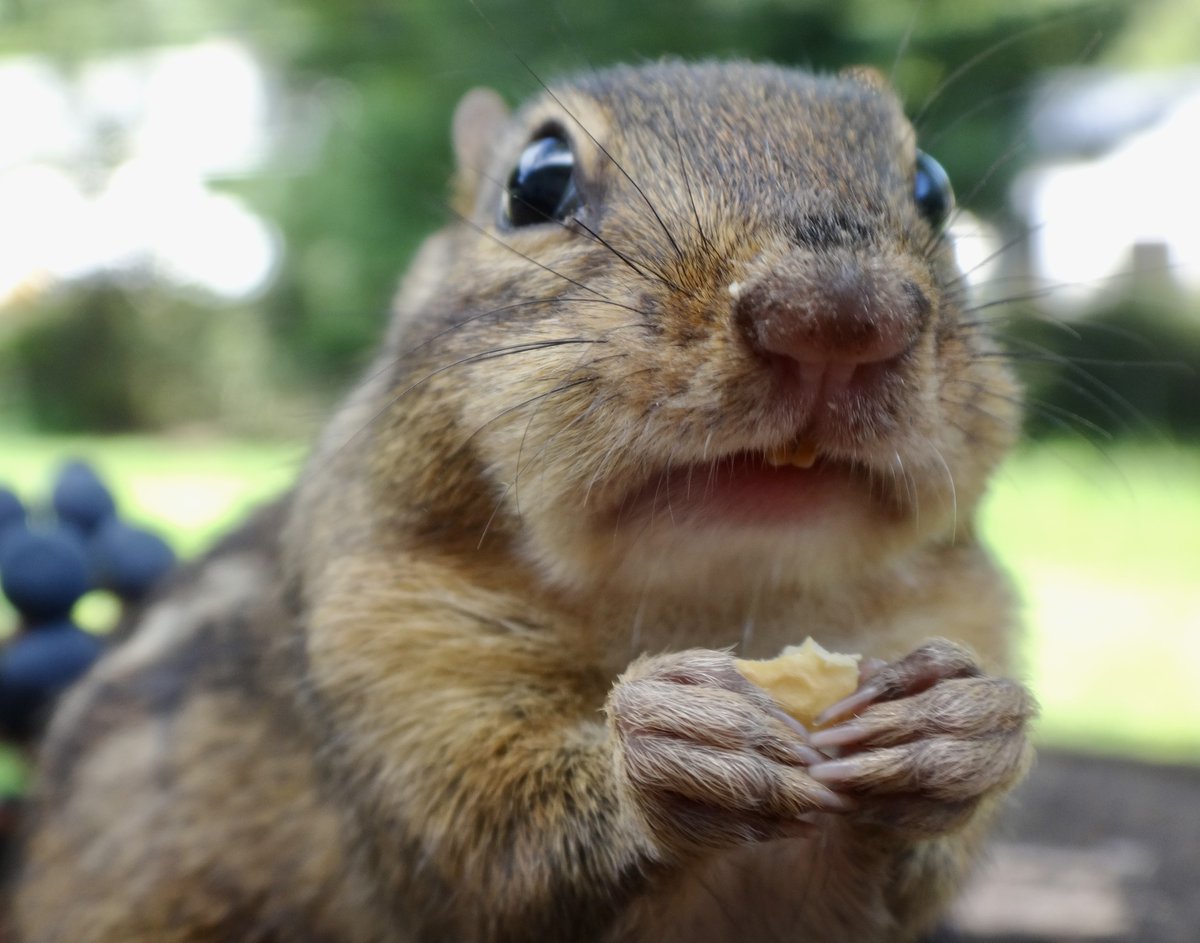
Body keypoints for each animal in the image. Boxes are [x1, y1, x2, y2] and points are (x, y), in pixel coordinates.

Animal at [7, 60, 1035, 942]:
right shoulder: (384, 641)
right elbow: (489, 851)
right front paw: (658, 744)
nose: (836, 315)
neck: (732, 600)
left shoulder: (959, 607)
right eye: (535, 183)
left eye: (933, 188)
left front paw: (964, 727)